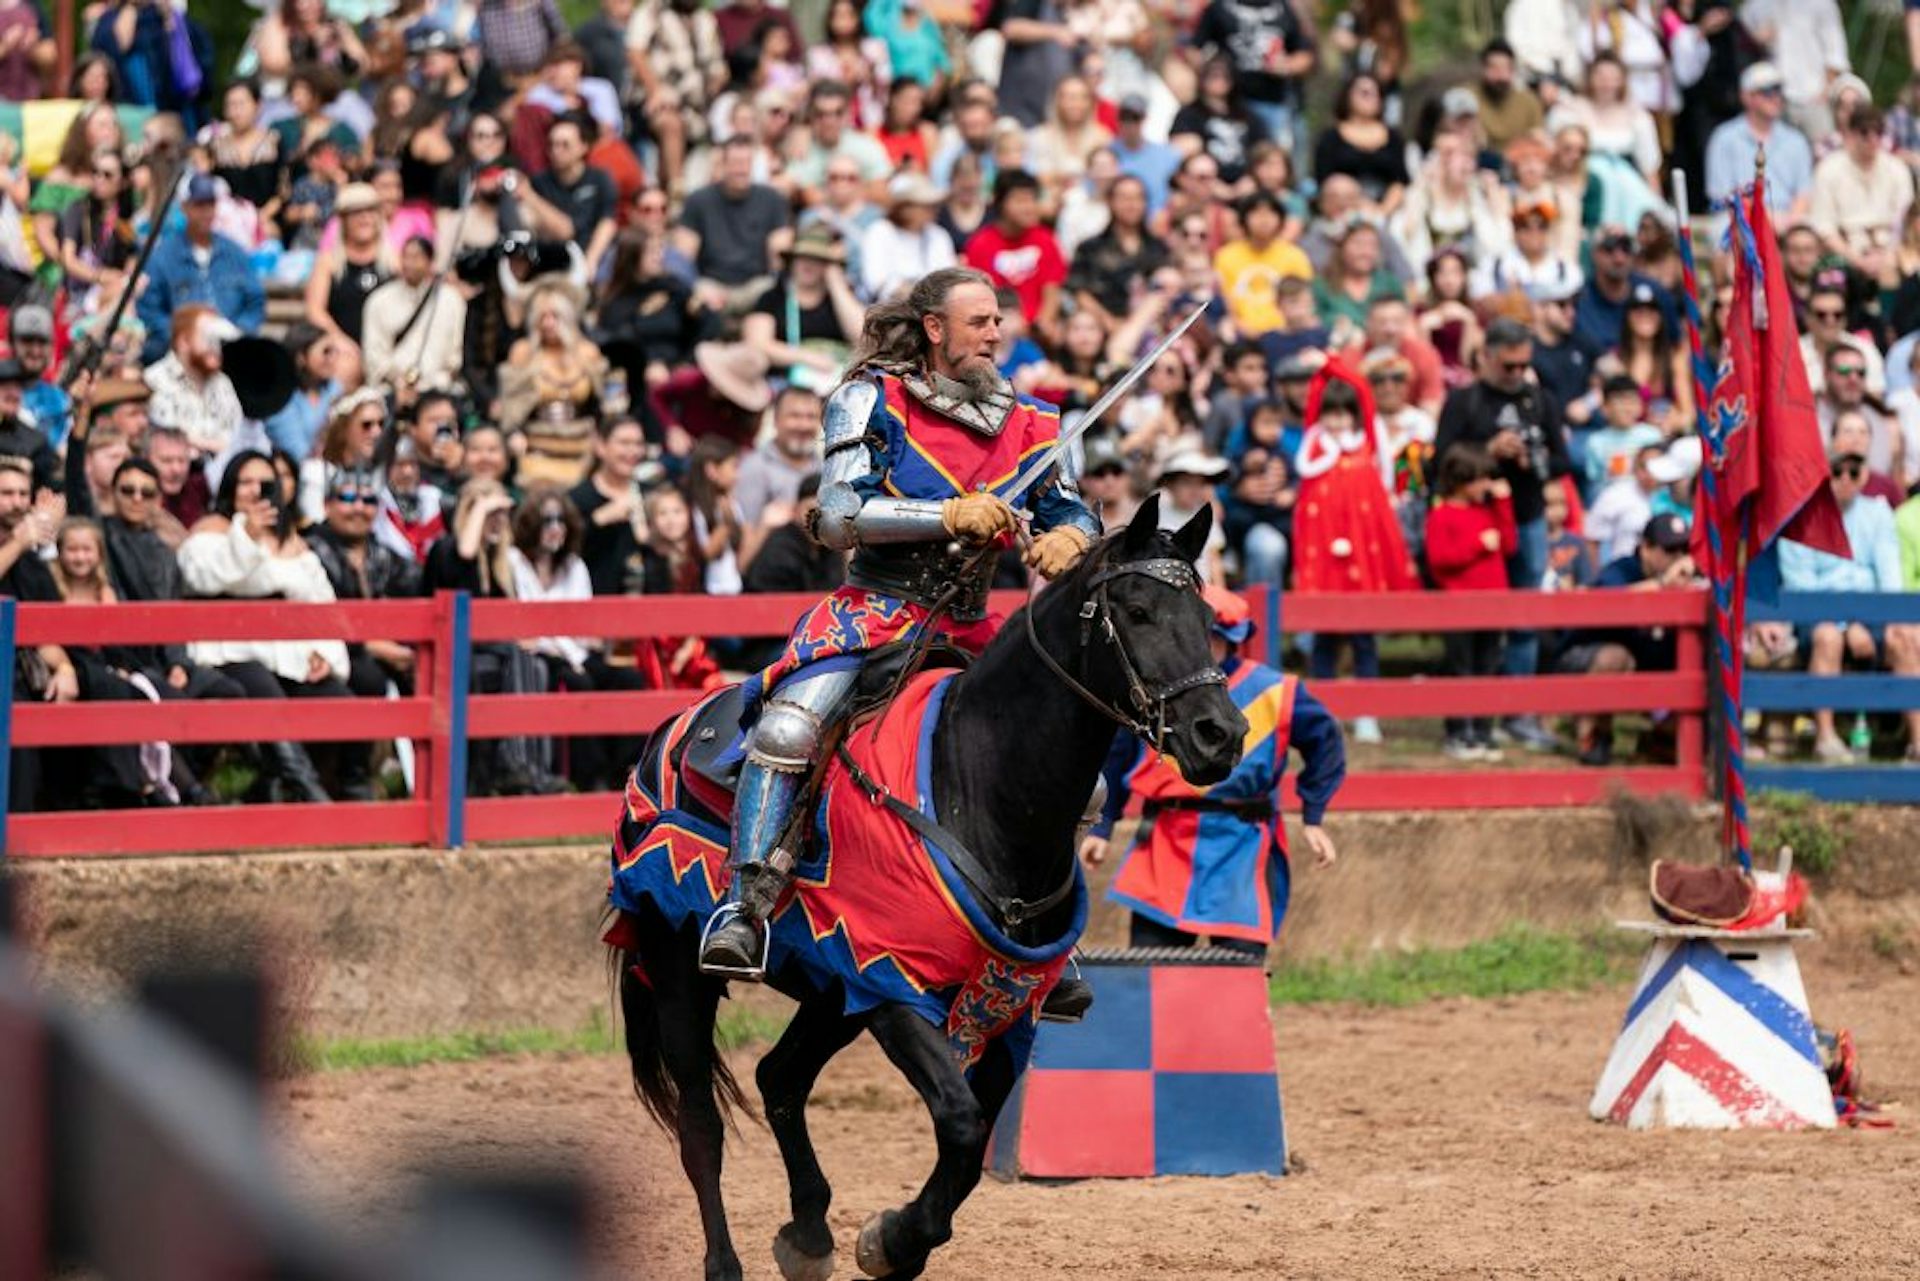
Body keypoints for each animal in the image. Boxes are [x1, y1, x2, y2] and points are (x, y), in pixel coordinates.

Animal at [606, 495, 1248, 1281]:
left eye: (1205, 614)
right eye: (1135, 609)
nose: (1219, 734)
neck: (977, 781)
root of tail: (665, 737)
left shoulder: (1002, 1001)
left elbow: (971, 1140)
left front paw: (894, 1239)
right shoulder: (892, 986)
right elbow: (963, 1124)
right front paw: (892, 1238)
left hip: (830, 992)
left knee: (780, 1077)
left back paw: (809, 1231)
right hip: (679, 972)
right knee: (701, 1125)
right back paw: (727, 1259)